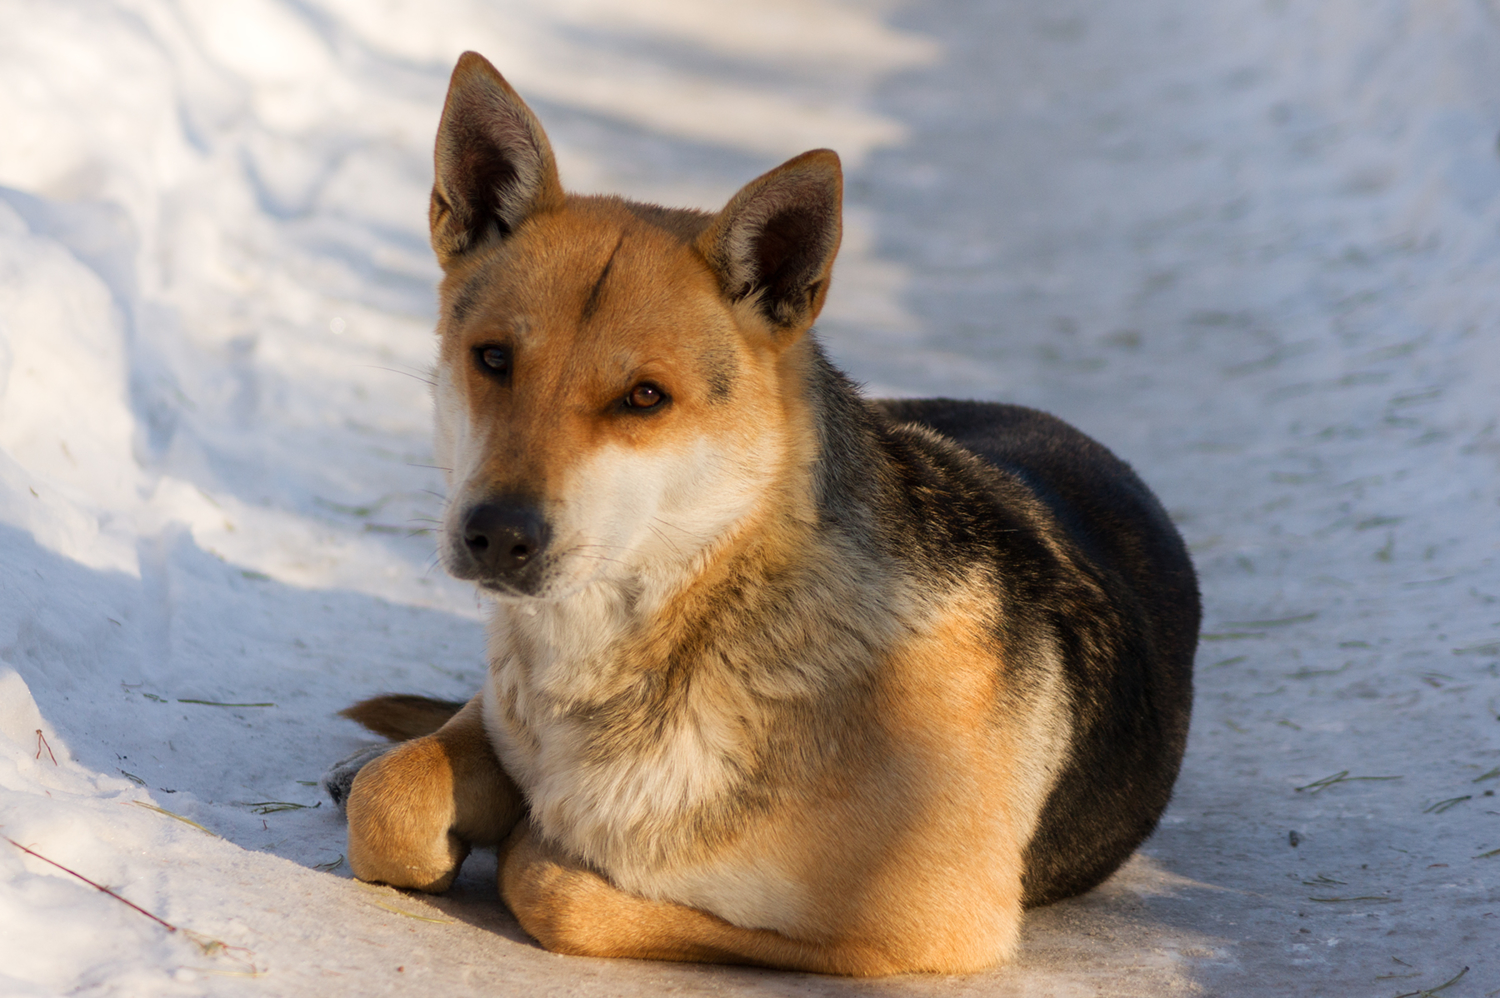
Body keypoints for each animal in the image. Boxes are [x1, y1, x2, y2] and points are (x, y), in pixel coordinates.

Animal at [334, 52, 1200, 972]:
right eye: (493, 359)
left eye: (646, 398)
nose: (497, 535)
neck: (701, 610)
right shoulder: (501, 713)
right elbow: (392, 801)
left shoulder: (922, 930)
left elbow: (557, 885)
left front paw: (534, 836)